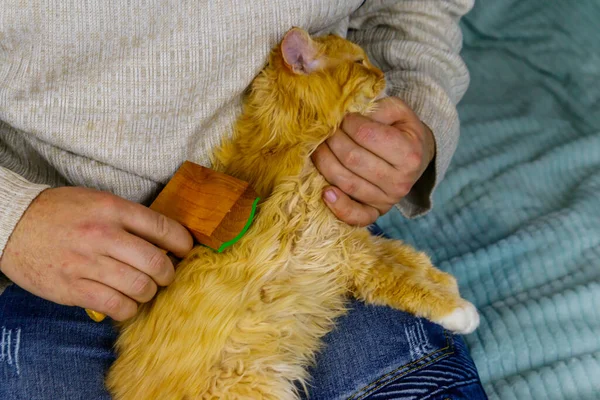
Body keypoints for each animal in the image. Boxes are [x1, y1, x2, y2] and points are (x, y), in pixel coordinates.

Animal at [106, 28, 478, 400]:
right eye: (360, 62)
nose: (383, 74)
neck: (297, 138)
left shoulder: (351, 238)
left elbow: (405, 256)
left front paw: (445, 282)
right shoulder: (341, 250)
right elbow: (400, 280)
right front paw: (458, 310)